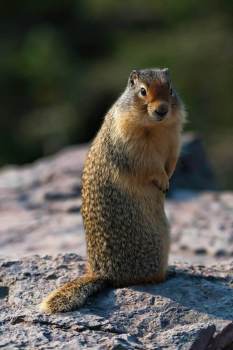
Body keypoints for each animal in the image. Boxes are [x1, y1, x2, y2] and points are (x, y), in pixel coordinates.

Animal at [40, 67, 186, 312]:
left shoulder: (174, 140)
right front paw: (162, 181)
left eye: (171, 89)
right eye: (142, 91)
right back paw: (170, 272)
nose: (162, 110)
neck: (155, 127)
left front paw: (169, 179)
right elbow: (149, 165)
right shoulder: (132, 145)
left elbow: (172, 161)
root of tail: (102, 274)